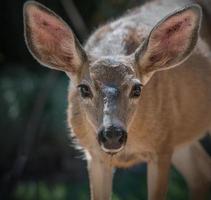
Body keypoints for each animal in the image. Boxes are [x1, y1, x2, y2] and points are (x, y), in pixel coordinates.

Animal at [23, 0, 211, 199]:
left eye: (137, 89)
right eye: (84, 89)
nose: (112, 134)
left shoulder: (162, 147)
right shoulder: (94, 154)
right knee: (201, 174)